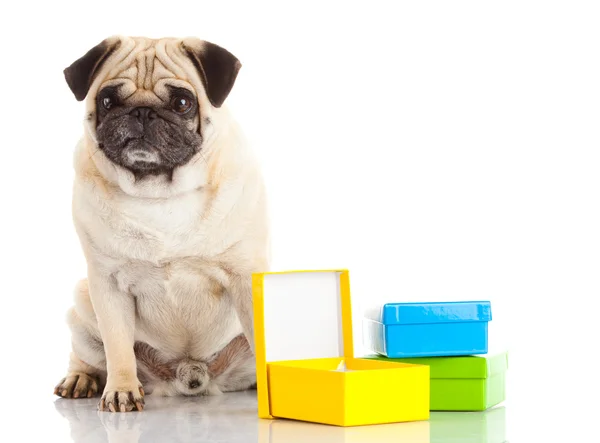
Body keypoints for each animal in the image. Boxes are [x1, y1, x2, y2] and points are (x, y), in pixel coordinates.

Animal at [54, 36, 270, 414]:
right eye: (108, 101)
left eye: (182, 103)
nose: (141, 111)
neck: (159, 193)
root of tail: (191, 374)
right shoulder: (107, 285)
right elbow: (118, 347)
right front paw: (121, 390)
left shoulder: (246, 278)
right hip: (82, 304)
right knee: (89, 355)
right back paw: (81, 378)